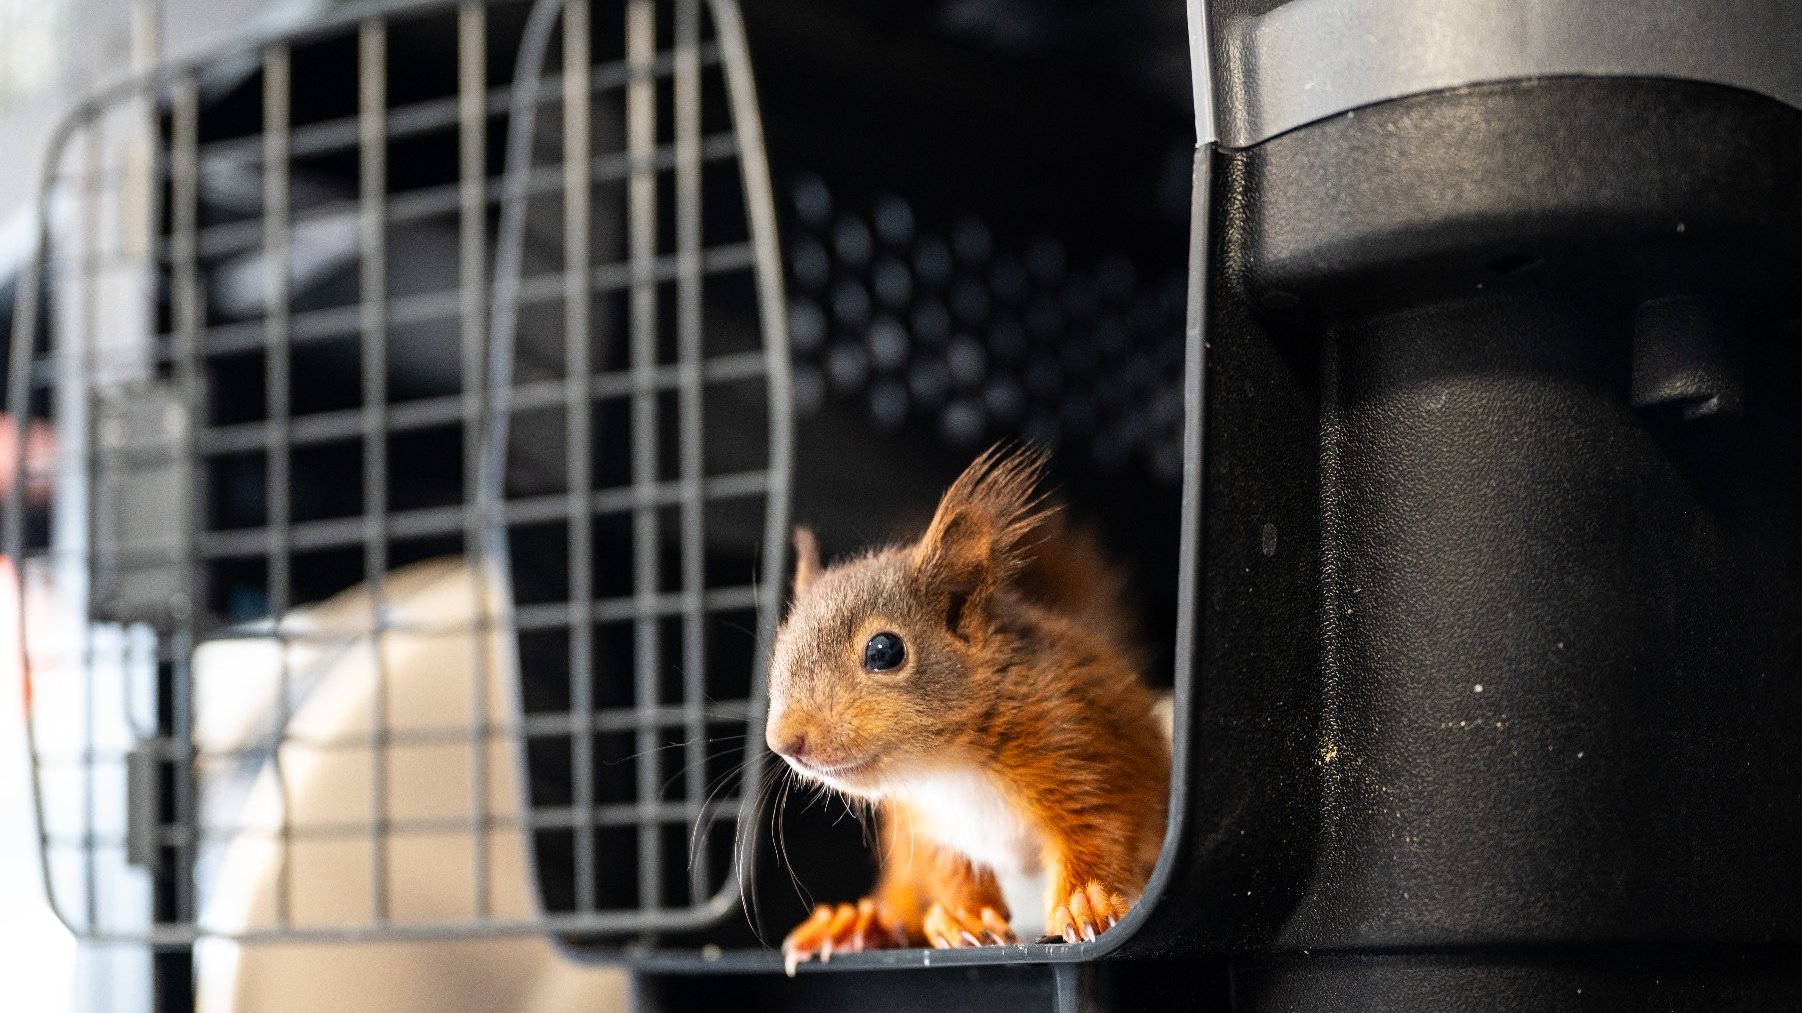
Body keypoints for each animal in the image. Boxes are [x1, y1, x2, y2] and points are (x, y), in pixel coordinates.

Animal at [764, 445, 1174, 973]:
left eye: (884, 651)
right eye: (778, 650)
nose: (784, 741)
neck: (945, 767)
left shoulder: (1080, 744)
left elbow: (1102, 828)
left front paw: (1086, 900)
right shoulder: (924, 828)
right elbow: (950, 872)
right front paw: (964, 917)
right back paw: (858, 923)